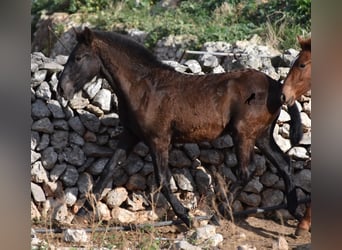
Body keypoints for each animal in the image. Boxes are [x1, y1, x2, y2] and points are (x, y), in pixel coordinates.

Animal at [58, 27, 302, 227]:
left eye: (78, 57)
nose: (62, 89)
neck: (144, 87)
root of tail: (277, 87)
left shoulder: (158, 139)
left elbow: (162, 180)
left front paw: (186, 218)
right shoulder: (130, 135)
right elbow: (107, 171)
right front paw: (80, 214)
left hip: (243, 135)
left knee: (246, 171)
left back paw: (217, 216)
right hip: (261, 136)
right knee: (284, 163)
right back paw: (294, 212)